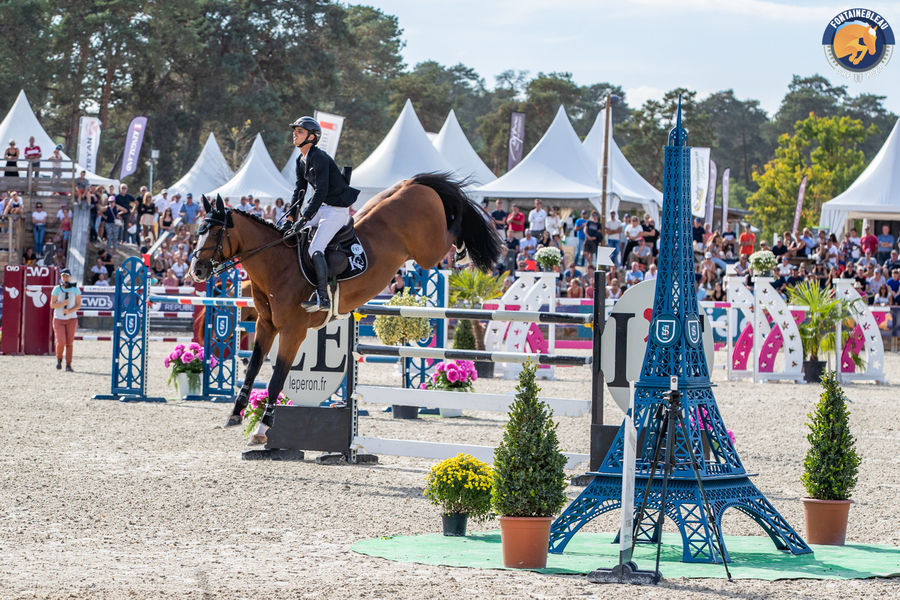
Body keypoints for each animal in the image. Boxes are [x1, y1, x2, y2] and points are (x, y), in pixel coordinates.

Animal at [189, 171, 502, 442]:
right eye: (199, 230)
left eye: (214, 233)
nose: (197, 271)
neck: (277, 265)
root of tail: (412, 184)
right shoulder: (265, 325)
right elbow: (253, 368)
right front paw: (234, 414)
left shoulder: (292, 331)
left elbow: (276, 378)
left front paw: (263, 428)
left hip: (428, 250)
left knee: (452, 230)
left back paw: (462, 253)